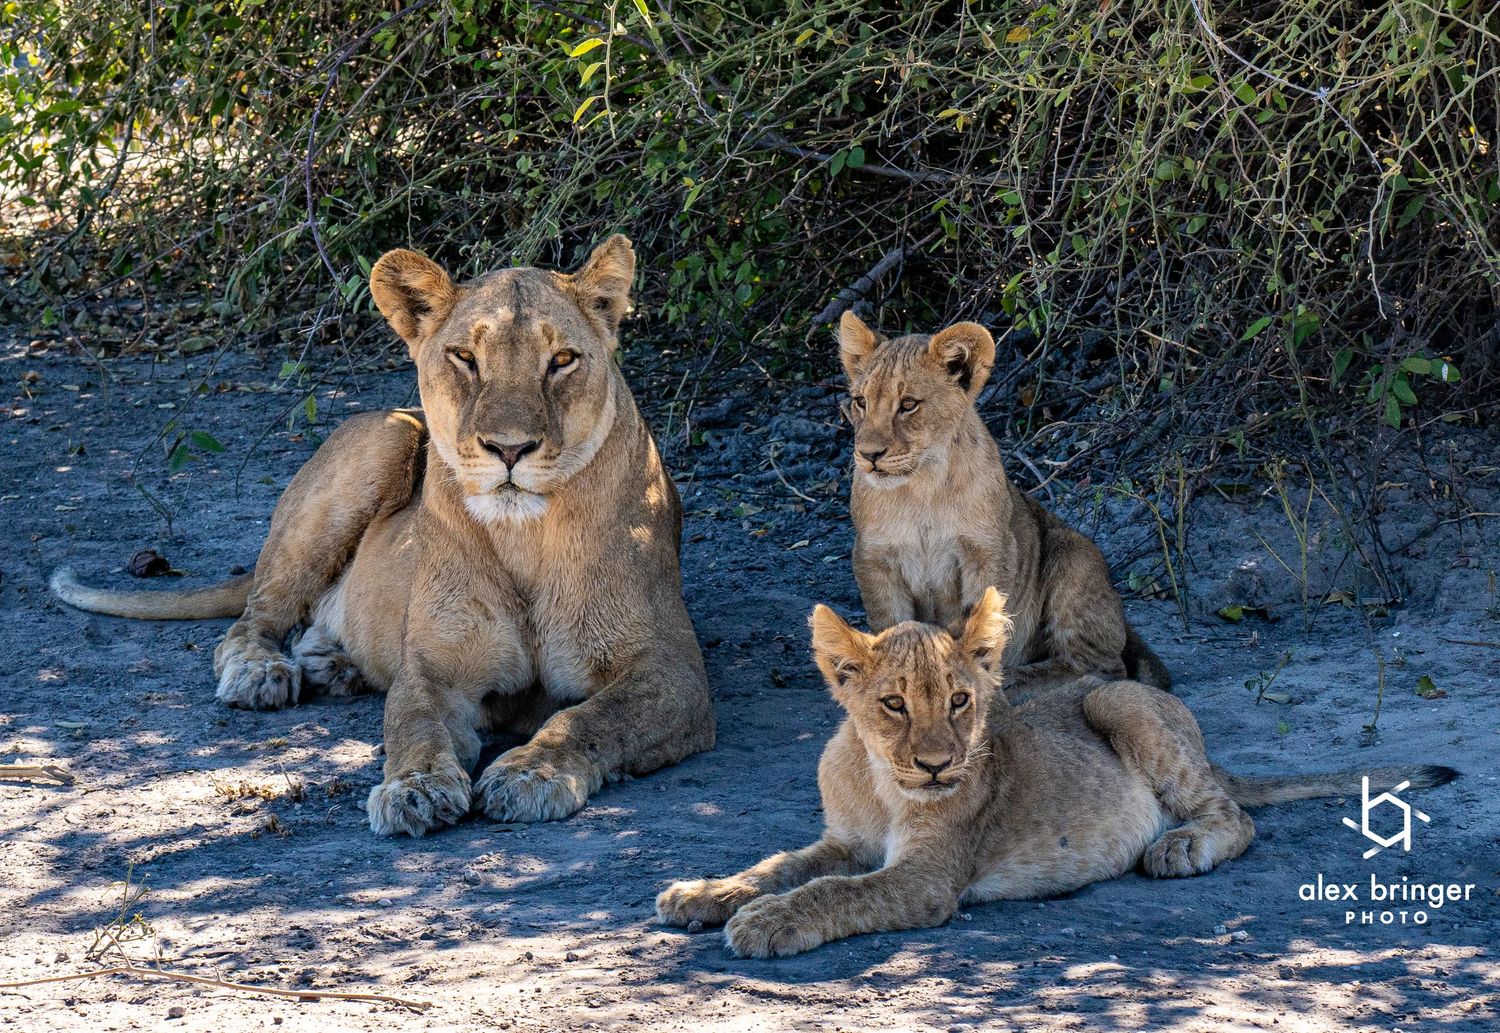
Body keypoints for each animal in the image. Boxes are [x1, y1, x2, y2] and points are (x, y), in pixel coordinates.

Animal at [52, 235, 716, 836]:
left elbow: (590, 719)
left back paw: (332, 666)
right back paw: (263, 673)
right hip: (386, 436)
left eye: (562, 361)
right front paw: (414, 789)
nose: (508, 449)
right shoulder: (433, 668)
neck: (523, 536)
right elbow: (411, 721)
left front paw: (531, 773)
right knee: (252, 619)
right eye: (465, 357)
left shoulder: (673, 673)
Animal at [656, 588, 1456, 958]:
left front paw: (766, 921)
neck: (884, 785)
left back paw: (1178, 846)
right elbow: (779, 865)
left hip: (1116, 696)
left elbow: (832, 892)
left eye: (960, 700)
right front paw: (705, 892)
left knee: (1235, 813)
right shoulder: (843, 841)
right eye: (893, 703)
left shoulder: (926, 878)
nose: (938, 765)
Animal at [837, 310, 1170, 693]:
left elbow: (983, 627)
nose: (868, 455)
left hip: (1073, 559)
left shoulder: (989, 553)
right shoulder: (874, 559)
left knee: (1101, 668)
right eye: (861, 402)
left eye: (908, 405)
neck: (922, 489)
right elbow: (891, 626)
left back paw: (1015, 677)